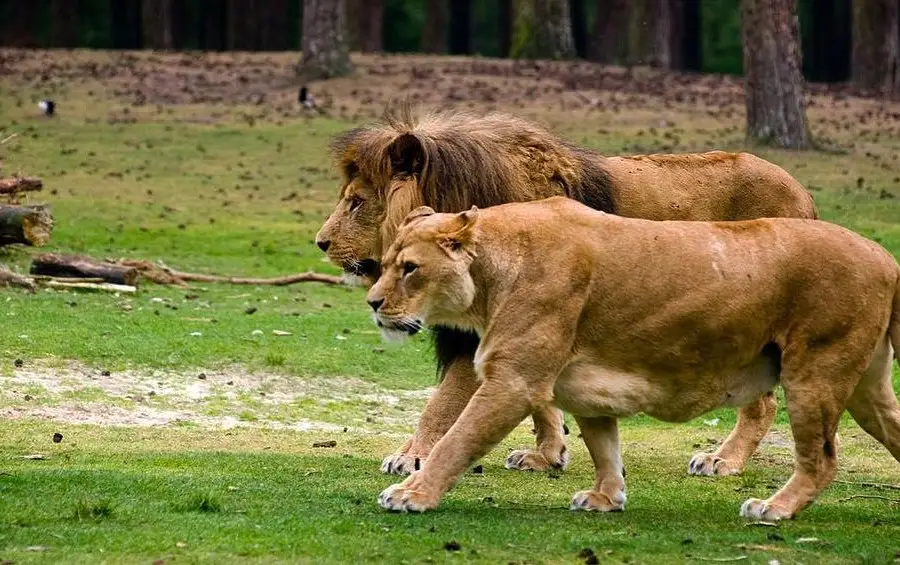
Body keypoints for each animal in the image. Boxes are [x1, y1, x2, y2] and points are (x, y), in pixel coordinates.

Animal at [314, 104, 816, 476]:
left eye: (356, 202)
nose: (320, 242)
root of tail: (803, 193)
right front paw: (548, 454)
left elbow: (442, 401)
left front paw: (411, 455)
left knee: (763, 403)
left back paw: (722, 460)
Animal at [366, 198, 900, 520]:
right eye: (385, 264)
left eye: (409, 268)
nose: (372, 302)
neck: (490, 277)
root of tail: (886, 257)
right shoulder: (585, 388)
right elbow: (605, 448)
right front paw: (606, 498)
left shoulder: (513, 381)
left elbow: (455, 442)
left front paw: (412, 494)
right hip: (866, 386)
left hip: (816, 371)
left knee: (822, 459)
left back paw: (774, 508)